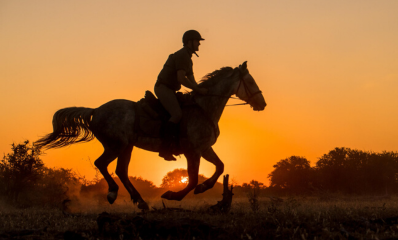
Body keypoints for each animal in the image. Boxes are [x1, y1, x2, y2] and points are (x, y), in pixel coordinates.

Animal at [35, 61, 266, 210]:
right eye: (251, 82)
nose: (262, 104)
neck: (203, 107)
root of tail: (96, 110)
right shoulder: (192, 151)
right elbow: (191, 179)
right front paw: (173, 195)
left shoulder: (204, 148)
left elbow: (220, 167)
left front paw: (203, 187)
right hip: (116, 145)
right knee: (102, 164)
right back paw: (113, 193)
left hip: (125, 147)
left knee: (120, 171)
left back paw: (140, 201)